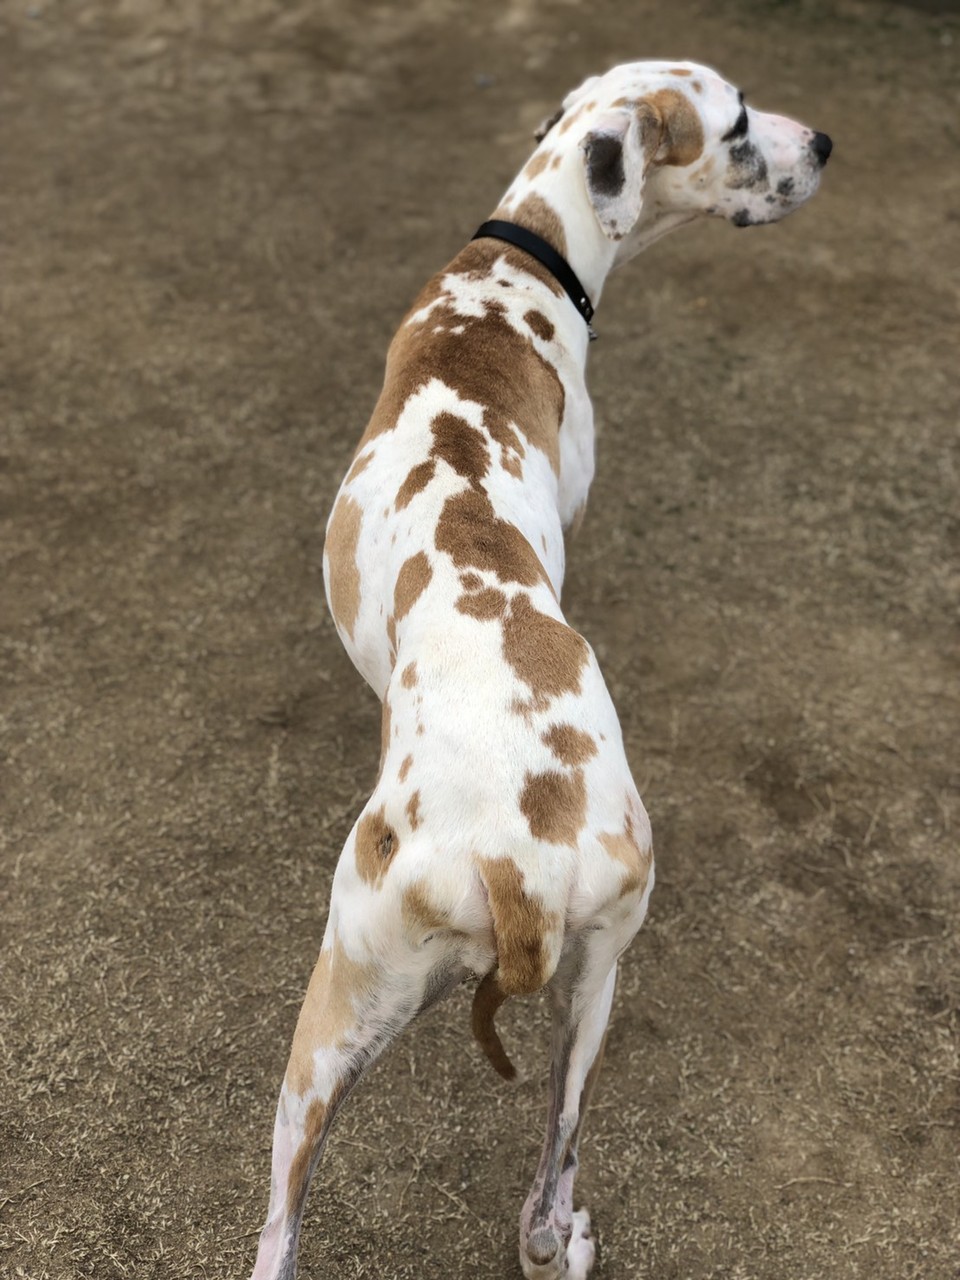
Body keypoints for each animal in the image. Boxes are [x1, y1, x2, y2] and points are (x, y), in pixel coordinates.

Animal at [249, 60, 831, 1280]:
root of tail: (508, 861)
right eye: (739, 126)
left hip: (361, 1036)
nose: (826, 144)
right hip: (581, 981)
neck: (515, 265)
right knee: (545, 1188)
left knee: (314, 1230)